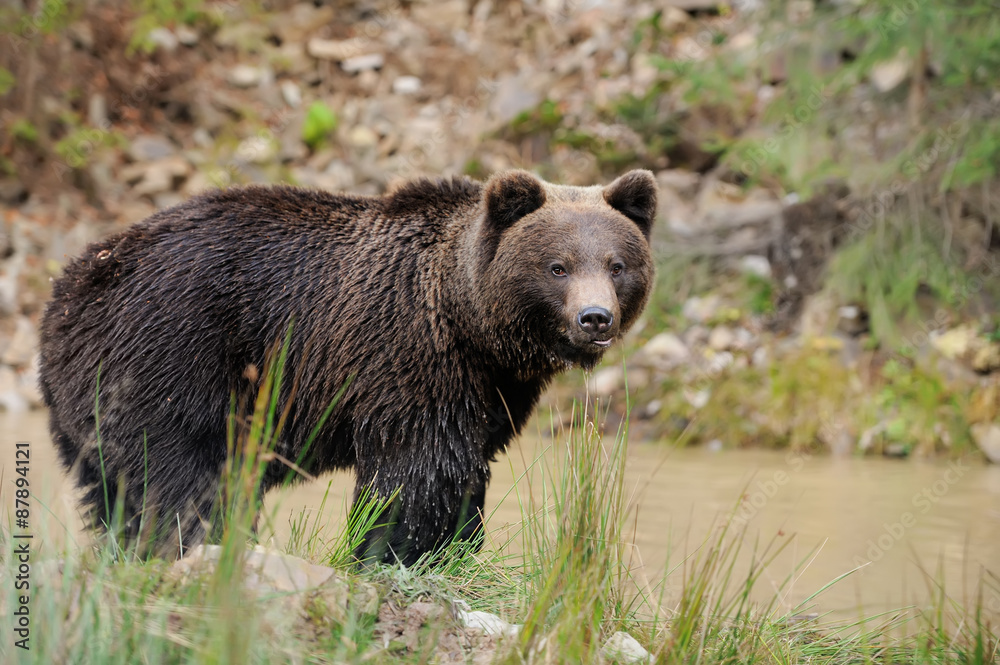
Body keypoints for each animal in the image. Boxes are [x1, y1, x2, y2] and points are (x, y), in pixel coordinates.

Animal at [41, 169, 656, 564]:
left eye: (617, 264)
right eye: (558, 266)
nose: (595, 318)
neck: (472, 324)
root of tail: (65, 291)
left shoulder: (492, 389)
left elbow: (466, 467)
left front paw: (454, 546)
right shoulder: (409, 356)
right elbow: (417, 474)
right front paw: (400, 552)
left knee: (115, 491)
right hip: (171, 359)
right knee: (187, 479)